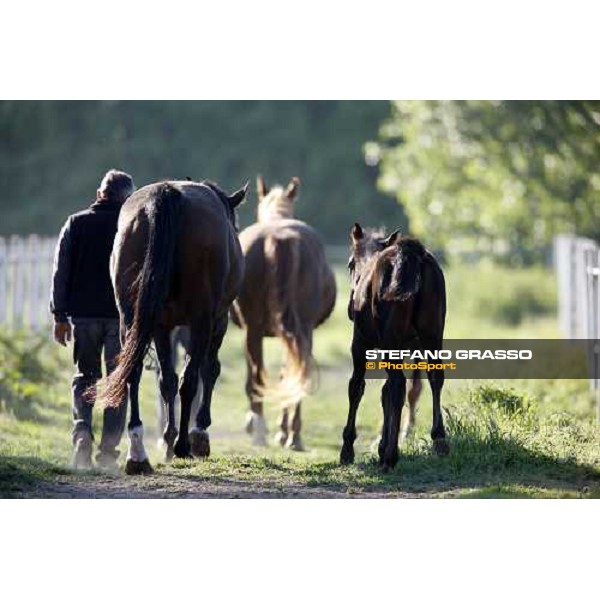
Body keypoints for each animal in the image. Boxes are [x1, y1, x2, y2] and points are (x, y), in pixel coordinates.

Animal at [103, 178, 246, 474]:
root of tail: (166, 194)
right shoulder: (216, 321)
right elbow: (208, 370)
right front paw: (197, 433)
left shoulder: (162, 327)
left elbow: (165, 380)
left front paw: (168, 439)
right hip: (203, 321)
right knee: (190, 379)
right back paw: (183, 445)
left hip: (131, 320)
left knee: (134, 372)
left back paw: (138, 451)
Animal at [232, 176, 338, 448]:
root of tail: (278, 239)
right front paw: (282, 429)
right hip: (300, 331)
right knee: (297, 373)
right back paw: (293, 436)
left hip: (256, 331)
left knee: (258, 378)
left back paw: (265, 432)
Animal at [340, 223, 448, 472]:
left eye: (350, 263)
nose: (350, 307)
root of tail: (408, 255)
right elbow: (385, 392)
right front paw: (380, 446)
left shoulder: (360, 343)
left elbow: (357, 387)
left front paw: (348, 449)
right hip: (432, 335)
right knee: (435, 377)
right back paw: (439, 440)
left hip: (389, 341)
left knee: (398, 385)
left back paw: (391, 456)